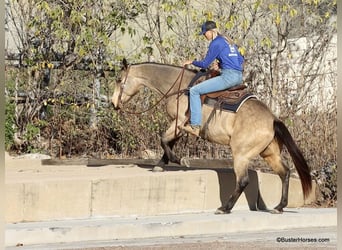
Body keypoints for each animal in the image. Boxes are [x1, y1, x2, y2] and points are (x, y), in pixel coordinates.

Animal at [112, 59, 312, 214]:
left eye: (119, 79)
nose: (113, 103)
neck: (180, 88)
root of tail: (273, 120)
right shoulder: (178, 126)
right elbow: (168, 142)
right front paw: (161, 165)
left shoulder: (178, 123)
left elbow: (163, 139)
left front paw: (178, 160)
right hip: (269, 154)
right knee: (285, 173)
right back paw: (279, 206)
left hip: (241, 155)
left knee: (243, 181)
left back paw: (225, 208)